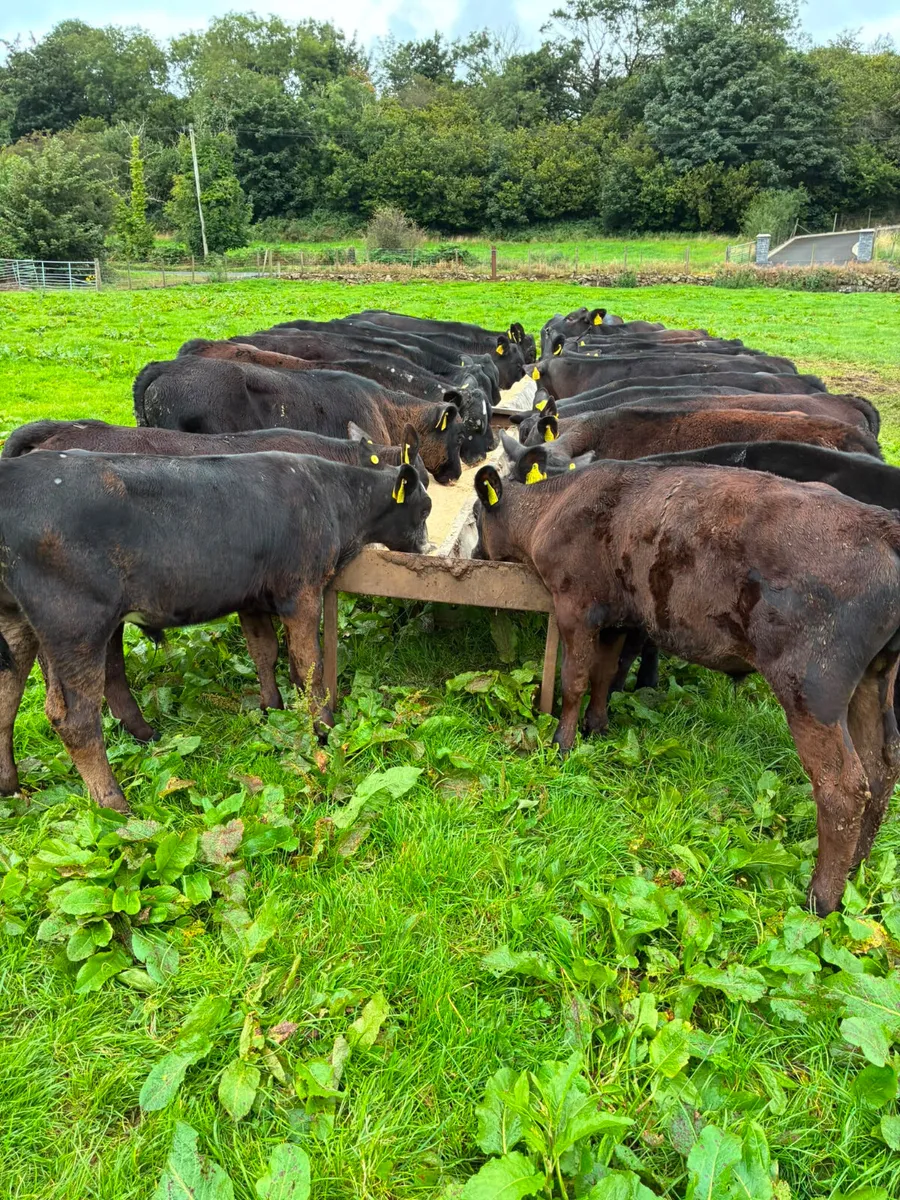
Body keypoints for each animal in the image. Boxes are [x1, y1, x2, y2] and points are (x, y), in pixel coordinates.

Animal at [0, 452, 430, 813]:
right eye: (423, 508)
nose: (425, 549)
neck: (328, 495)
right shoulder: (302, 590)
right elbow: (308, 663)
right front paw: (322, 727)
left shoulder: (252, 598)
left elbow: (264, 652)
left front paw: (272, 708)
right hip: (76, 624)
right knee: (74, 719)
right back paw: (114, 804)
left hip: (18, 620)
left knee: (8, 698)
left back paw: (11, 786)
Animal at [472, 460, 900, 916]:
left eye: (478, 519)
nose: (476, 556)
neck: (557, 506)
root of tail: (879, 523)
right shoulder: (618, 618)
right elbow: (604, 676)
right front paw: (597, 726)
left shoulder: (577, 607)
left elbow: (575, 681)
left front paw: (563, 743)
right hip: (874, 678)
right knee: (882, 767)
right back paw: (856, 868)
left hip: (811, 687)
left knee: (844, 787)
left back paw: (822, 897)